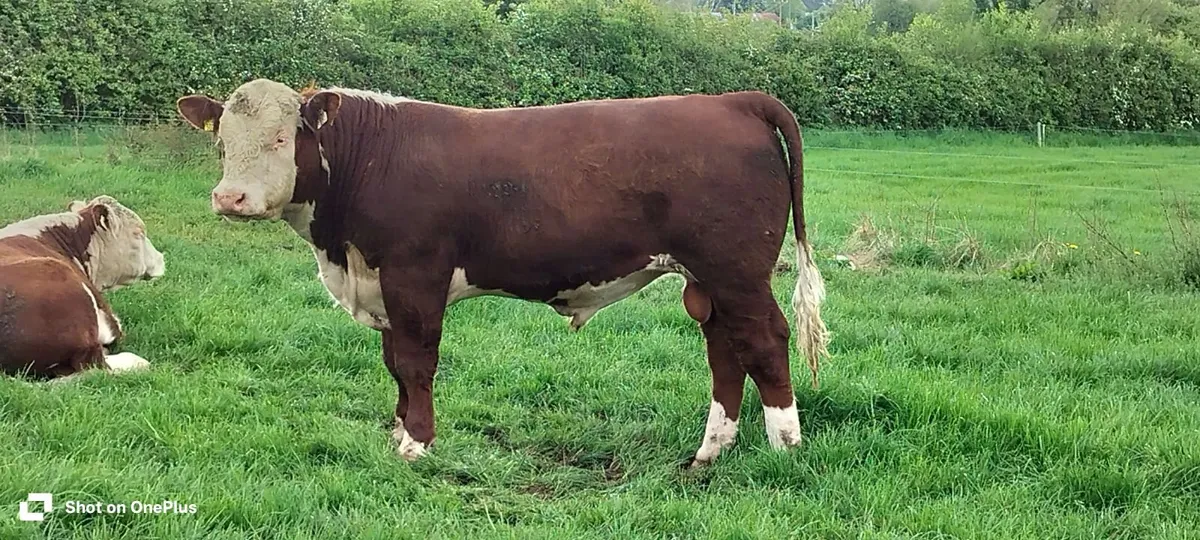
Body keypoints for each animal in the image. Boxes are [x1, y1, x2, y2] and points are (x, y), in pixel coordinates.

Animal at [176, 79, 830, 467]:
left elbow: (416, 361)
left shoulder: (414, 276)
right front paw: (397, 431)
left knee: (764, 340)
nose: (230, 198)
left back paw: (785, 446)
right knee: (725, 350)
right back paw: (709, 452)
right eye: (222, 140)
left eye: (281, 137)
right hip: (709, 279)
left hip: (737, 270)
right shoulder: (381, 284)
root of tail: (733, 99)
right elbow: (394, 364)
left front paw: (417, 443)